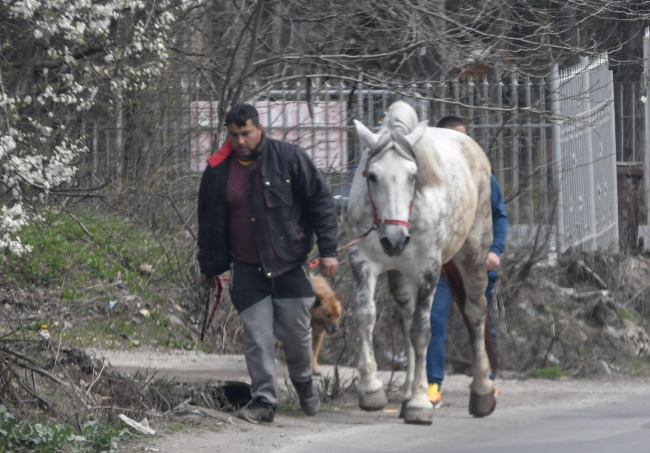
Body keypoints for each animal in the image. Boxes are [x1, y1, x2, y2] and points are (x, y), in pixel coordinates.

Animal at [346, 100, 494, 422]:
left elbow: (423, 330)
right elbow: (366, 315)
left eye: (413, 176)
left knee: (476, 314)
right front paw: (371, 390)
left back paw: (482, 394)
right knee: (405, 319)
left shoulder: (429, 270)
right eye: (372, 176)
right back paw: (405, 395)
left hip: (474, 254)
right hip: (401, 275)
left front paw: (419, 403)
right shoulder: (364, 261)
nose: (395, 239)